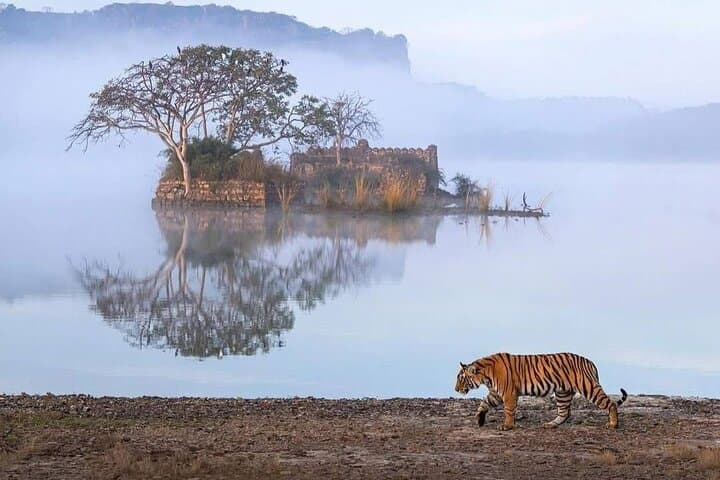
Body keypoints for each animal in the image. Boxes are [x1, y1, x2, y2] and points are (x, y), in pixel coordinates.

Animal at [455, 352, 628, 431]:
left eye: (461, 378)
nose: (456, 389)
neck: (485, 376)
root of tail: (590, 361)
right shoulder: (496, 393)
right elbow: (484, 404)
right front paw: (479, 419)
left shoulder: (508, 393)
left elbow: (508, 410)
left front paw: (507, 426)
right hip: (563, 393)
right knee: (565, 413)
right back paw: (550, 424)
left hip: (589, 387)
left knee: (610, 403)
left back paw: (613, 424)